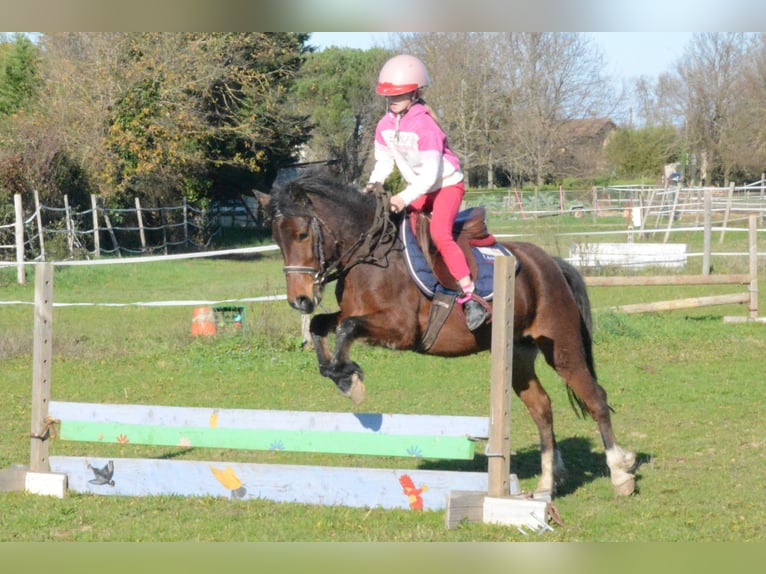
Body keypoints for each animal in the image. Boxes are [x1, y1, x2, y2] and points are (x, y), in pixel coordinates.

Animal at [257, 166, 636, 498]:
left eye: (303, 234)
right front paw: (341, 376)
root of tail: (549, 263)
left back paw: (621, 473)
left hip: (561, 347)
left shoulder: (401, 329)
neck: (370, 256)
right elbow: (322, 325)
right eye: (276, 239)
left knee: (595, 398)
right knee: (541, 407)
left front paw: (350, 380)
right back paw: (546, 483)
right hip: (517, 355)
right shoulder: (355, 315)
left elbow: (346, 329)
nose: (300, 300)